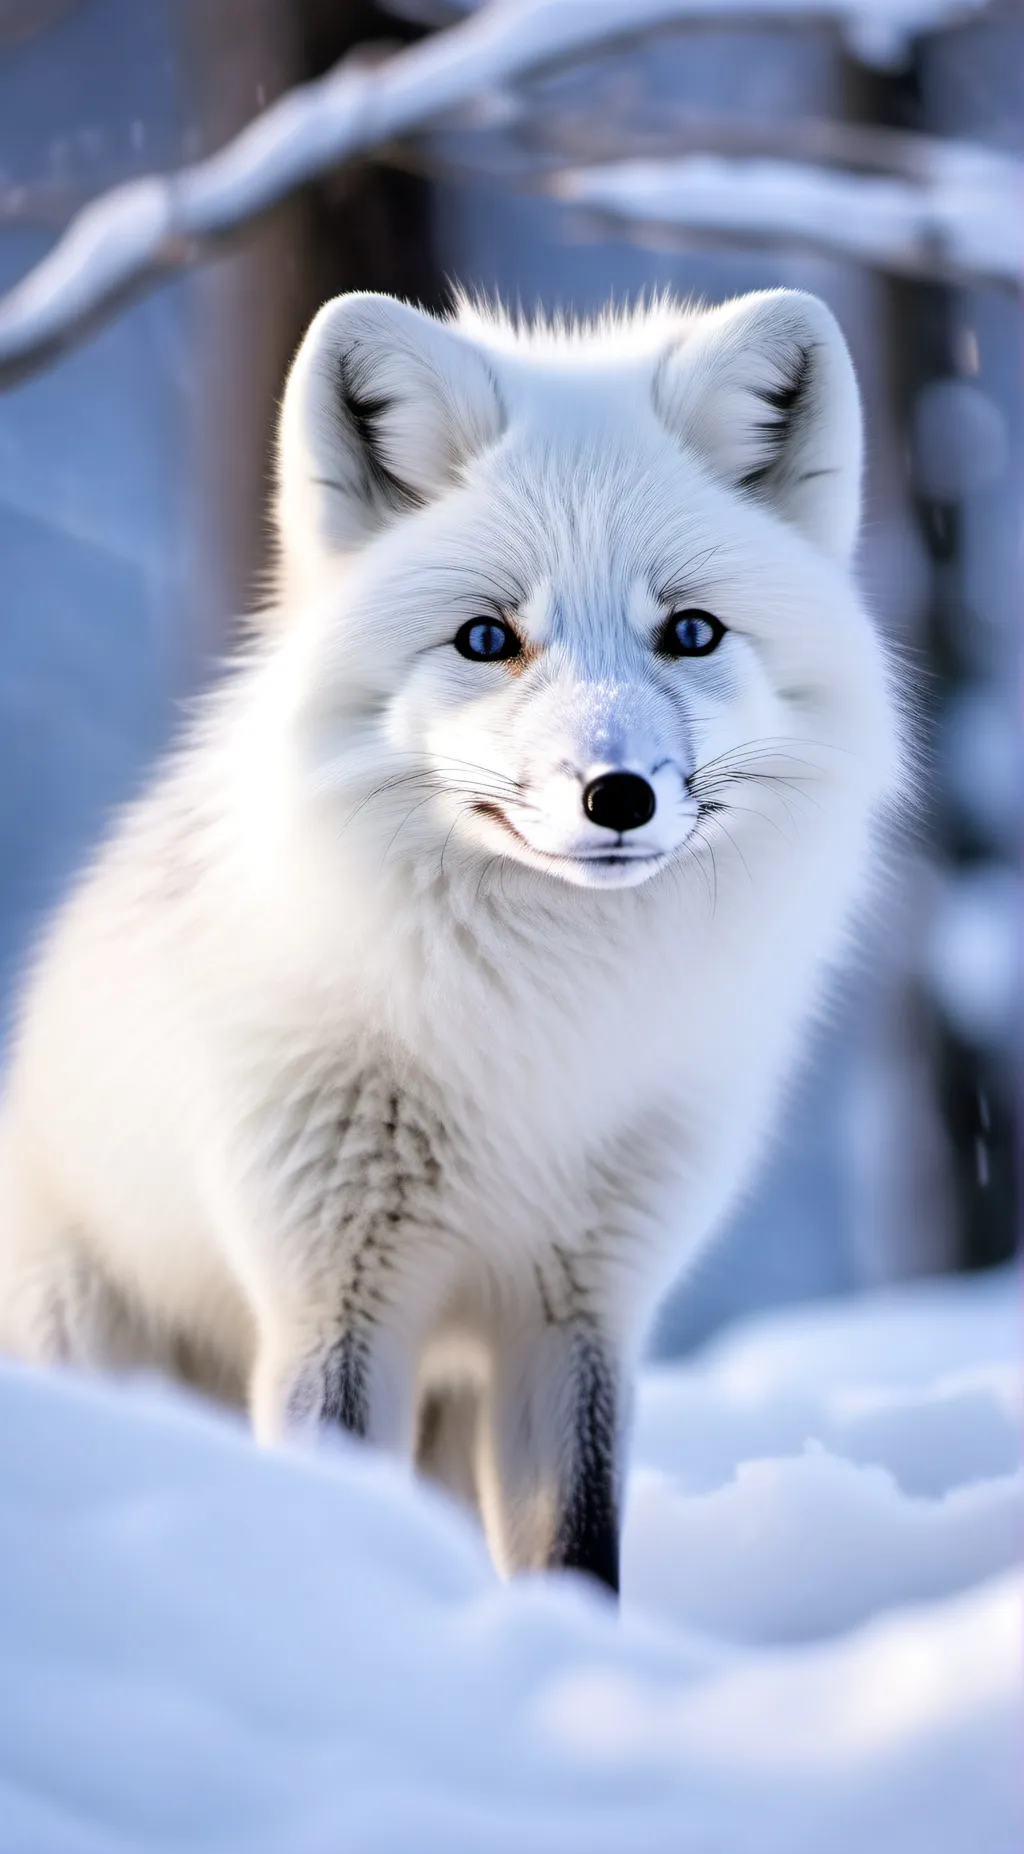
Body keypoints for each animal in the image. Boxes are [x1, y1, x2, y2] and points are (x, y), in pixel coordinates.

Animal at [0, 287, 899, 1593]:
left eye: (689, 632)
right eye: (487, 640)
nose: (617, 795)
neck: (539, 1041)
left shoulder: (579, 1309)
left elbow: (577, 1557)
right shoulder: (332, 1294)